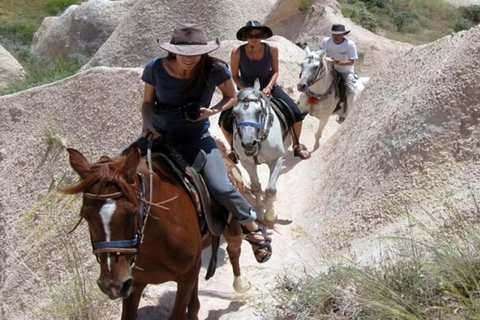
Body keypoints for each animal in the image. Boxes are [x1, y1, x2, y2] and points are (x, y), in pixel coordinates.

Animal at [61, 143, 249, 320]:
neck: (157, 241)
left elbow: (177, 314)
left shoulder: (185, 275)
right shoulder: (134, 284)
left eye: (132, 211)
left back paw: (240, 284)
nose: (112, 285)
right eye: (85, 215)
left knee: (234, 249)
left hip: (231, 224)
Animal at [232, 79, 288, 221]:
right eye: (234, 113)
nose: (248, 144)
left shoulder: (276, 159)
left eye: (259, 111)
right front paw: (260, 208)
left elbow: (270, 190)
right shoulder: (247, 162)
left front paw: (270, 215)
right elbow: (256, 187)